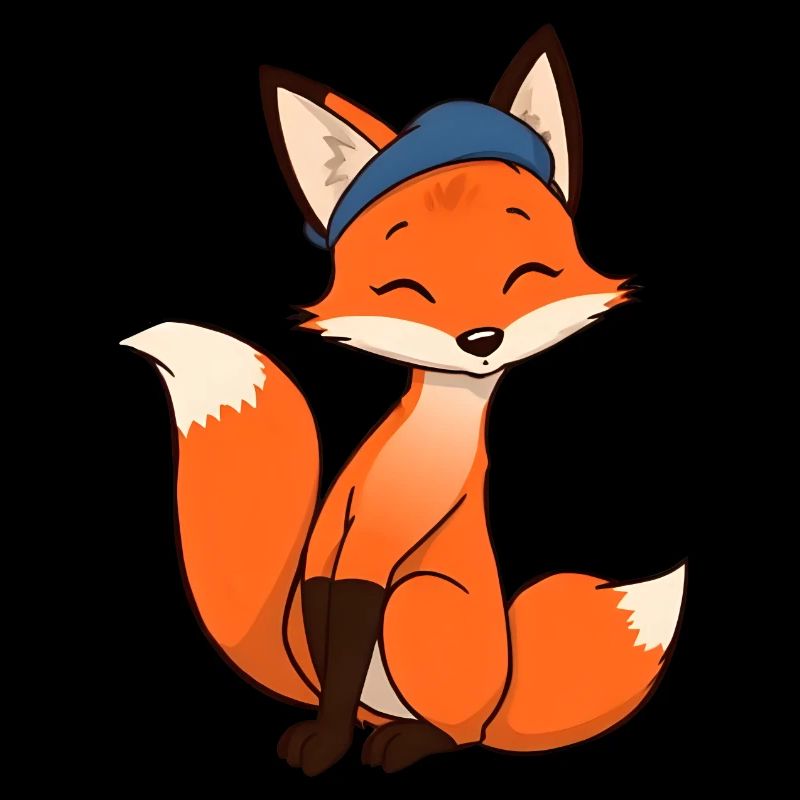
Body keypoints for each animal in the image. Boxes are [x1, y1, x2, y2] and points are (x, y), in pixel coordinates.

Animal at [122, 26, 686, 776]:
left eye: (526, 276)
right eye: (407, 289)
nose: (481, 339)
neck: (422, 443)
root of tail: (502, 697)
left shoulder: (380, 559)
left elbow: (345, 664)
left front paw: (325, 747)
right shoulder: (338, 557)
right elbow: (335, 662)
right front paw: (326, 737)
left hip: (422, 598)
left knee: (459, 734)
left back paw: (410, 741)